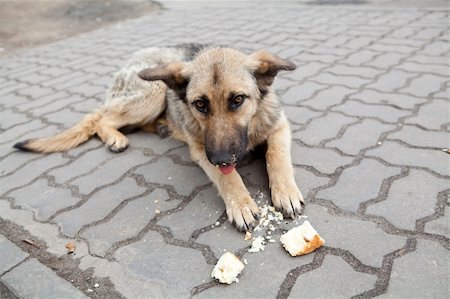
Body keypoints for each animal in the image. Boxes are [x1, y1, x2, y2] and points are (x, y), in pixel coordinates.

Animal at [15, 44, 308, 232]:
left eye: (237, 100)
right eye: (200, 104)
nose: (221, 158)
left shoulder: (279, 127)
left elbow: (276, 157)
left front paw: (285, 192)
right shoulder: (200, 149)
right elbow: (228, 178)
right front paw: (241, 203)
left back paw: (159, 127)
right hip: (153, 92)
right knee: (102, 119)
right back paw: (116, 137)